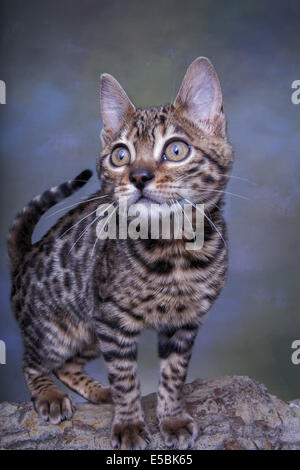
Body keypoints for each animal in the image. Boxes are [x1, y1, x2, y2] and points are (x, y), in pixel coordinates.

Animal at [7, 57, 232, 450]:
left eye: (176, 150)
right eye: (120, 154)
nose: (139, 175)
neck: (174, 252)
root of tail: (27, 253)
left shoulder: (184, 323)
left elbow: (173, 374)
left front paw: (172, 418)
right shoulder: (112, 321)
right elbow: (126, 377)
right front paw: (128, 425)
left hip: (88, 331)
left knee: (68, 364)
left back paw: (100, 392)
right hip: (58, 329)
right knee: (34, 360)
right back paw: (49, 395)